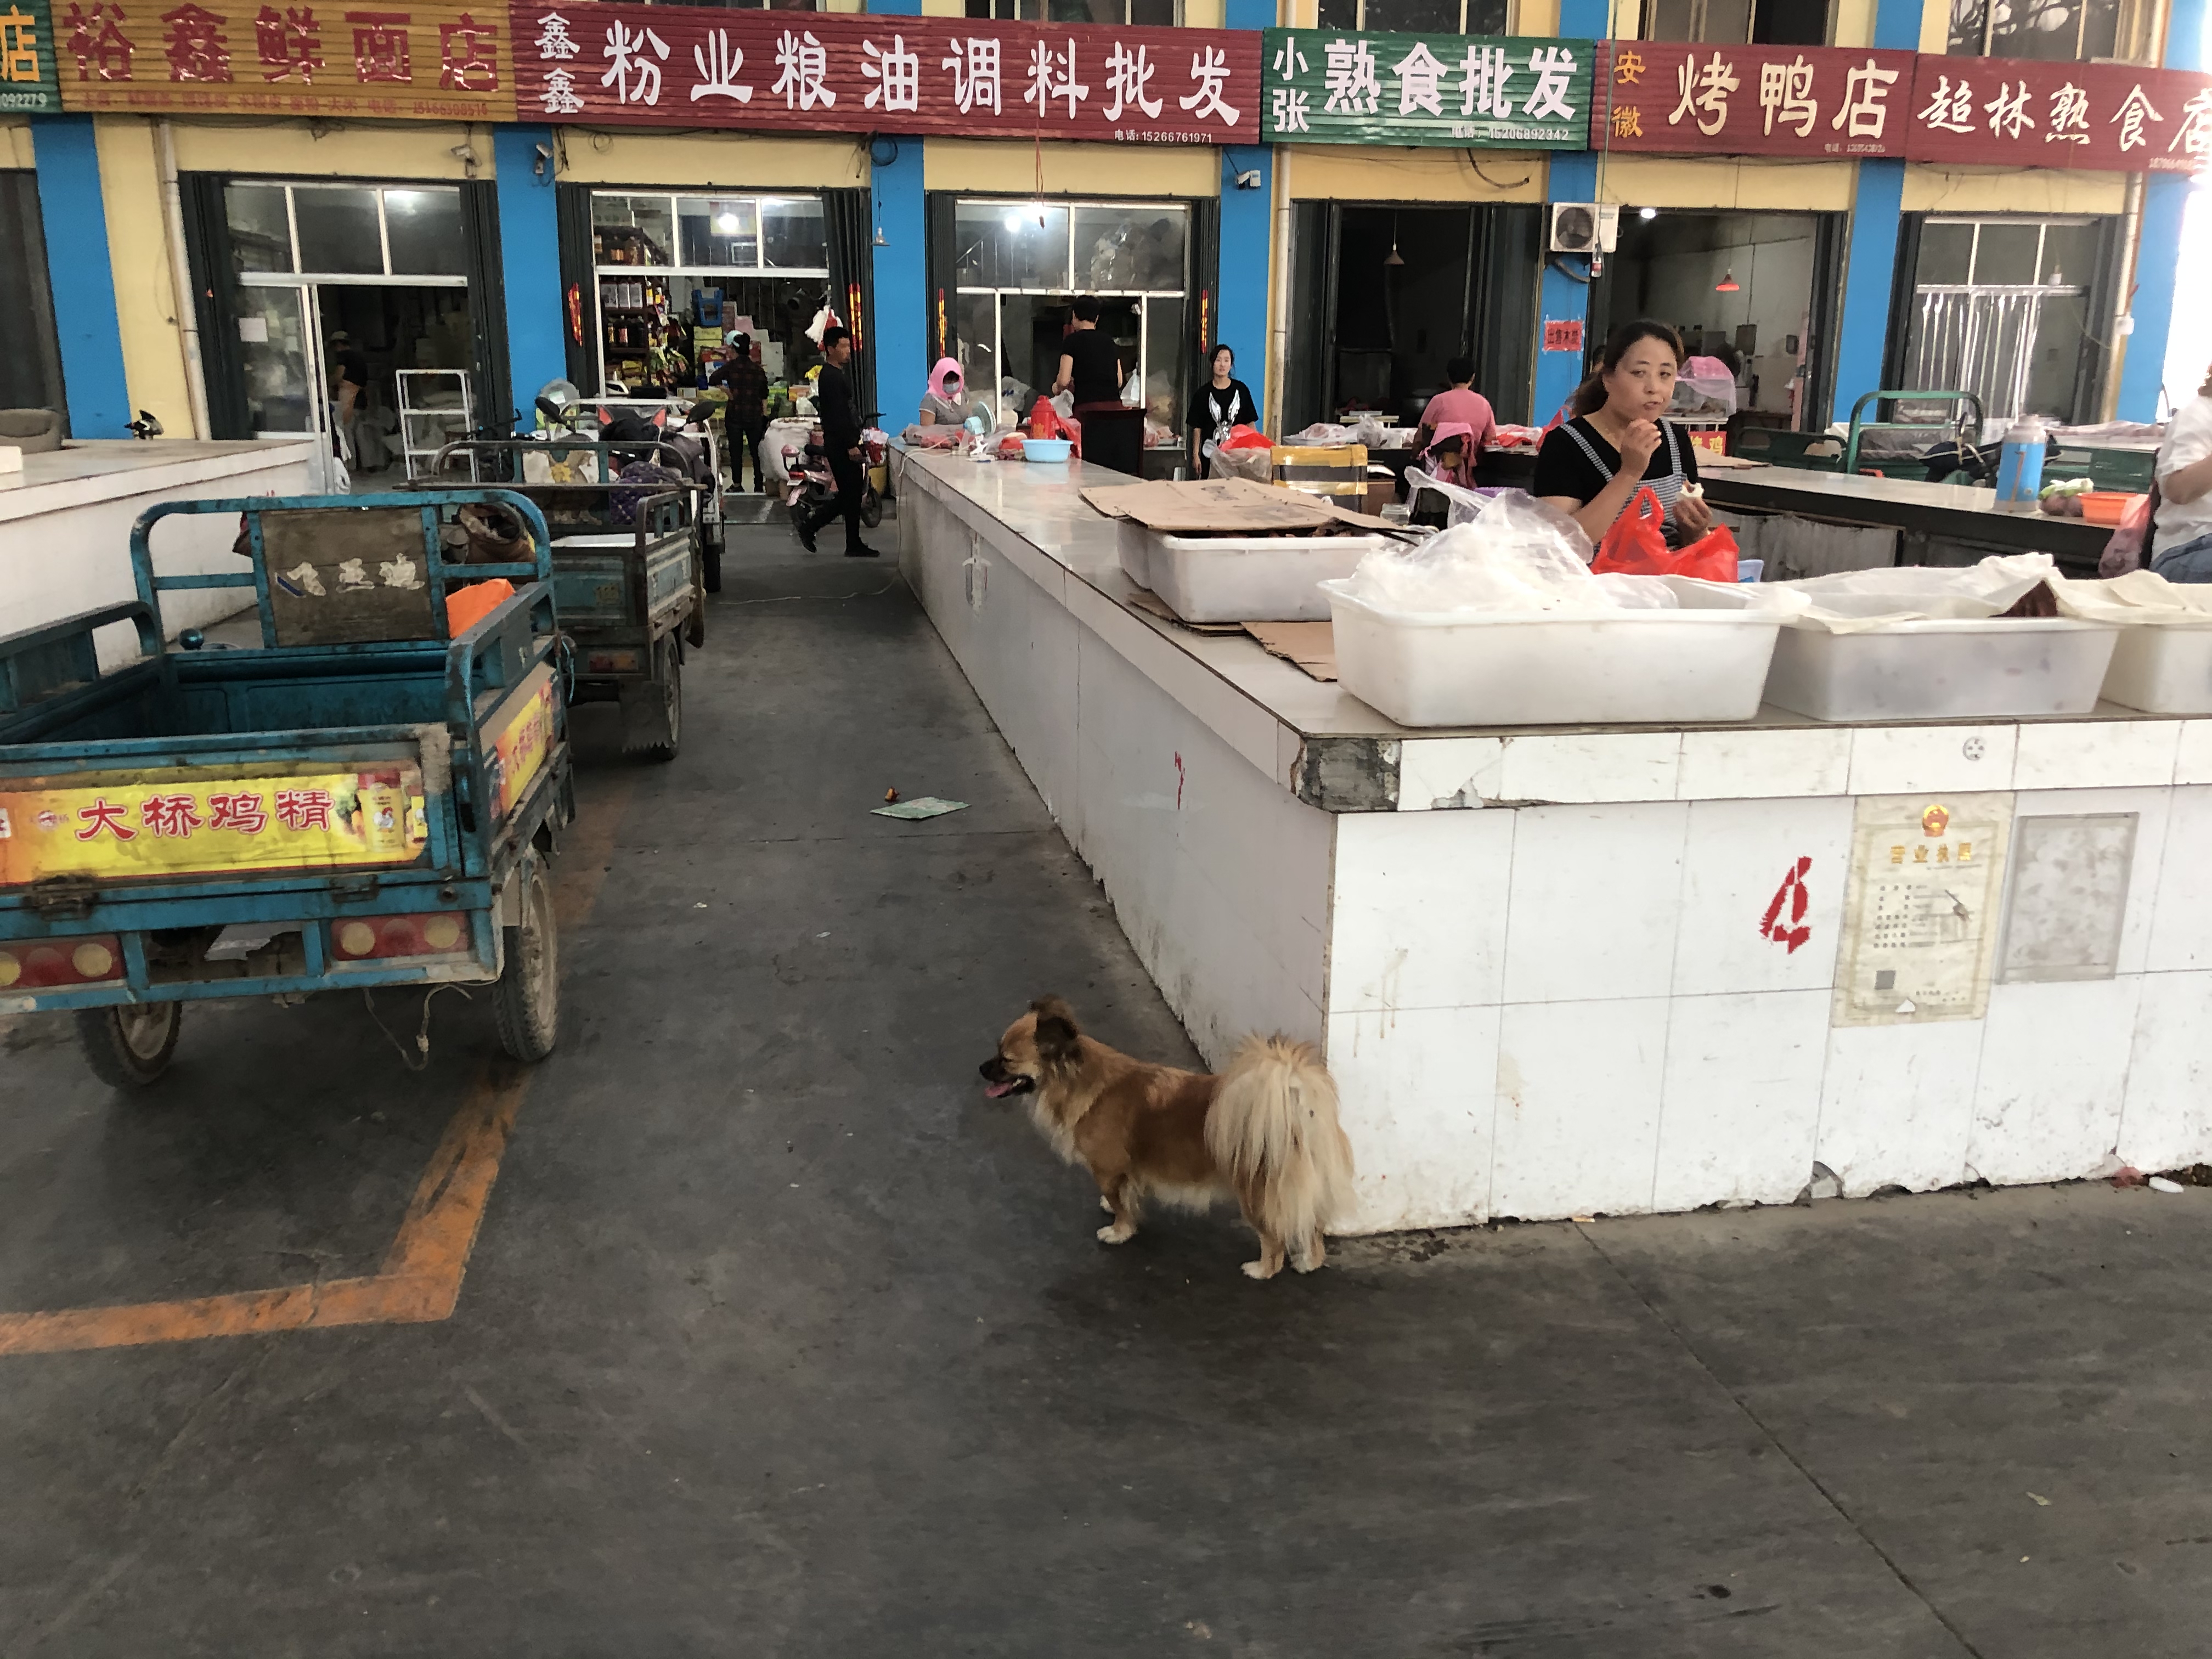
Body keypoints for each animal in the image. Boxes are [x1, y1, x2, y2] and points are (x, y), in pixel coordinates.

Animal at [982, 1000, 1353, 1283]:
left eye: (1006, 1060)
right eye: (997, 1052)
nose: (981, 1069)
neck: (1082, 1083)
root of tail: (1295, 1106)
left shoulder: (1108, 1171)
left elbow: (1121, 1206)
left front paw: (1118, 1231)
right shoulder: (1125, 1173)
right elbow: (1125, 1195)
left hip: (1255, 1198)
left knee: (1275, 1240)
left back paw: (1262, 1270)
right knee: (1312, 1229)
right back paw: (1309, 1263)